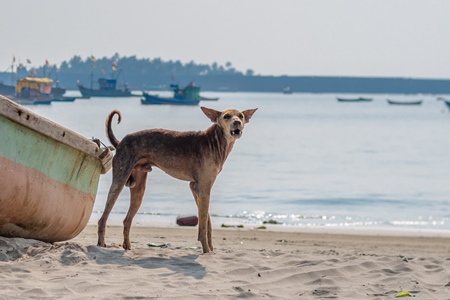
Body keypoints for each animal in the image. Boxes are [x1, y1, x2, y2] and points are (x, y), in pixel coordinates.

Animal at [97, 106, 260, 252]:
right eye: (226, 116)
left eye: (241, 116)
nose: (237, 122)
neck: (215, 141)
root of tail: (120, 142)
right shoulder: (203, 189)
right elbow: (203, 224)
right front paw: (206, 249)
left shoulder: (197, 187)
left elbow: (207, 221)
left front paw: (210, 249)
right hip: (119, 180)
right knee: (103, 218)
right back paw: (101, 244)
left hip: (139, 189)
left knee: (127, 220)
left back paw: (127, 246)